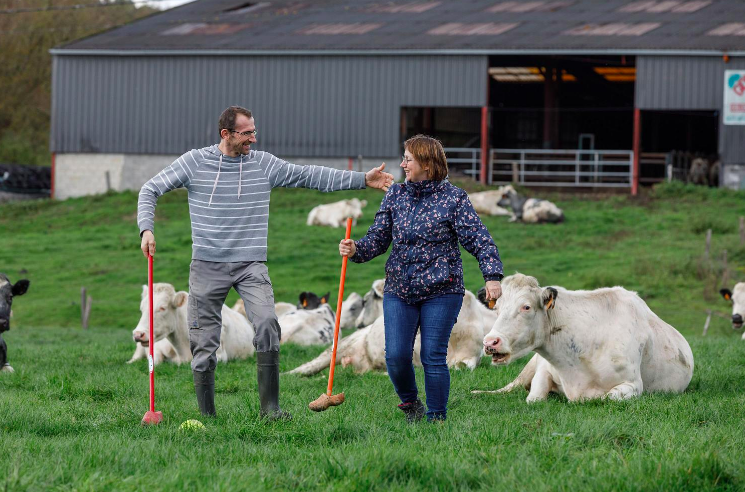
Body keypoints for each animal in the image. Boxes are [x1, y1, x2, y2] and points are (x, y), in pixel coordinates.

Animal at [474, 274, 696, 402]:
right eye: (497, 308)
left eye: (526, 307)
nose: (490, 342)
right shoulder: (544, 369)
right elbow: (534, 398)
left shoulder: (633, 384)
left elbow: (607, 398)